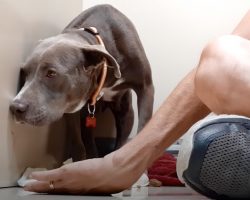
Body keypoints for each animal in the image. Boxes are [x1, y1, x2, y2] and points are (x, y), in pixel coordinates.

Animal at [10, 4, 154, 161]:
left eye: (51, 73)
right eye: (24, 72)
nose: (15, 107)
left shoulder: (146, 87)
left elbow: (144, 126)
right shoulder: (70, 106)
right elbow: (78, 142)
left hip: (126, 112)